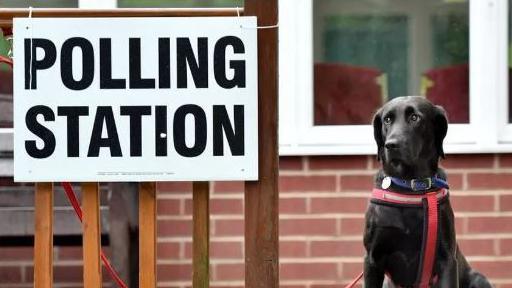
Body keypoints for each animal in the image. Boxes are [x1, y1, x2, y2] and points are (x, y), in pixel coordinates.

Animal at [364, 97, 492, 288]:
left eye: (415, 117)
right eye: (387, 120)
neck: (410, 187)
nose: (391, 145)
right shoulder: (372, 259)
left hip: (479, 279)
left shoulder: (447, 260)